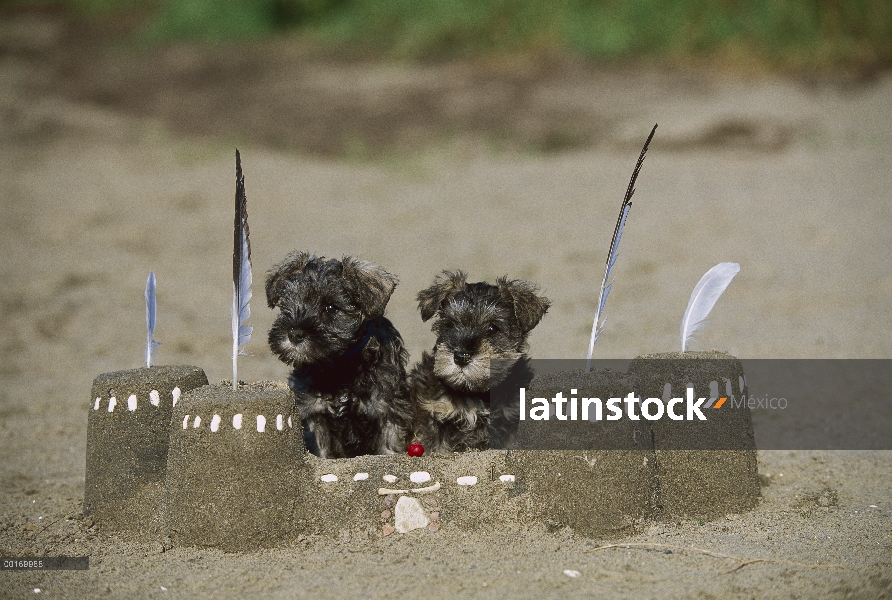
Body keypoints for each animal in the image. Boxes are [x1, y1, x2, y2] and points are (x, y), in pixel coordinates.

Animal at [264, 251, 414, 458]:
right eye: (289, 303)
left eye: (331, 307)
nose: (294, 334)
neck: (340, 365)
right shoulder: (314, 414)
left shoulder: (388, 411)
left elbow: (388, 449)